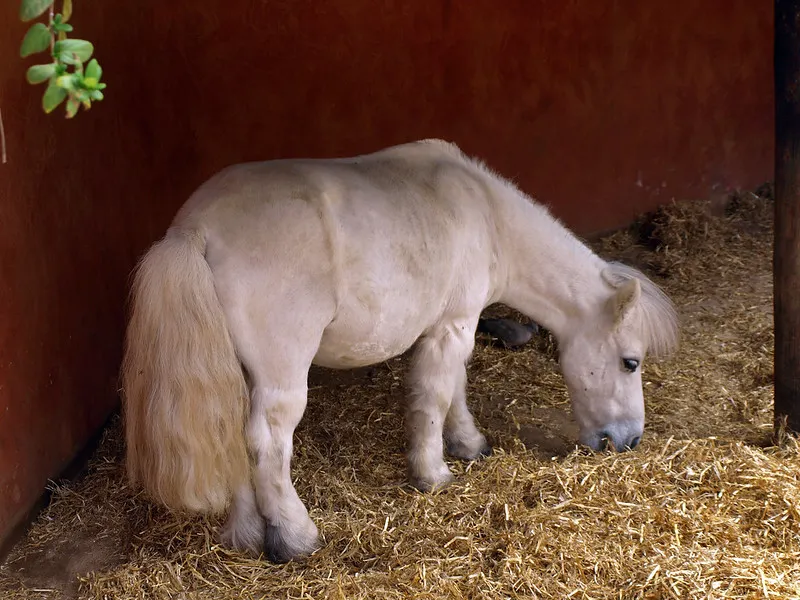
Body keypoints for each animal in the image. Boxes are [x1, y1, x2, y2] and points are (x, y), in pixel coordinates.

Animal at [121, 139, 679, 563]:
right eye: (630, 361)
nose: (628, 440)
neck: (487, 216)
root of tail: (197, 230)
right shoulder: (453, 326)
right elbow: (434, 398)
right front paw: (433, 473)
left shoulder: (455, 326)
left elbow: (455, 389)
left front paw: (469, 444)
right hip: (282, 376)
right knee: (266, 444)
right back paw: (295, 536)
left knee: (233, 438)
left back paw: (245, 536)